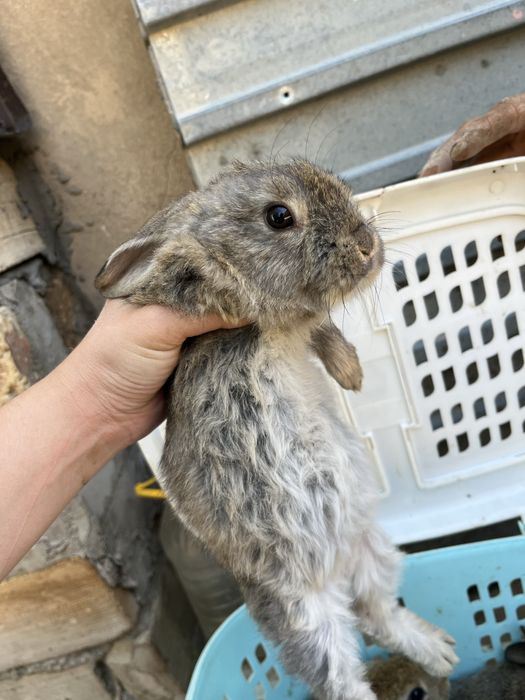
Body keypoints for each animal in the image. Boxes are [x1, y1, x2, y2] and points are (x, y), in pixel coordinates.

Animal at [95, 159, 457, 700]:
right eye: (279, 216)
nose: (367, 245)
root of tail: (336, 569)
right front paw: (354, 374)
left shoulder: (300, 326)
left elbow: (324, 329)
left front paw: (351, 375)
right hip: (305, 615)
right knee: (345, 671)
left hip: (374, 550)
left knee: (380, 615)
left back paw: (439, 651)